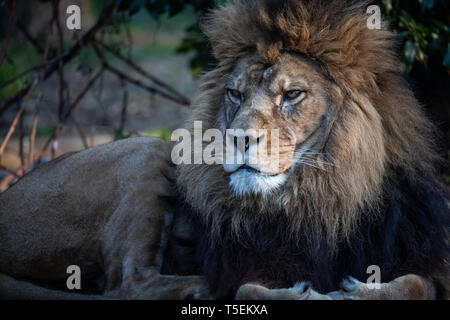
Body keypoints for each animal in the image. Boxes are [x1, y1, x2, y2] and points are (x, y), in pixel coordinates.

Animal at [0, 0, 448, 300]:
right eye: (235, 94)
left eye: (292, 94)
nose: (239, 138)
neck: (319, 199)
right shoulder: (250, 261)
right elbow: (248, 286)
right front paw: (307, 292)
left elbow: (415, 283)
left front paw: (357, 289)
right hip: (150, 151)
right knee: (128, 284)